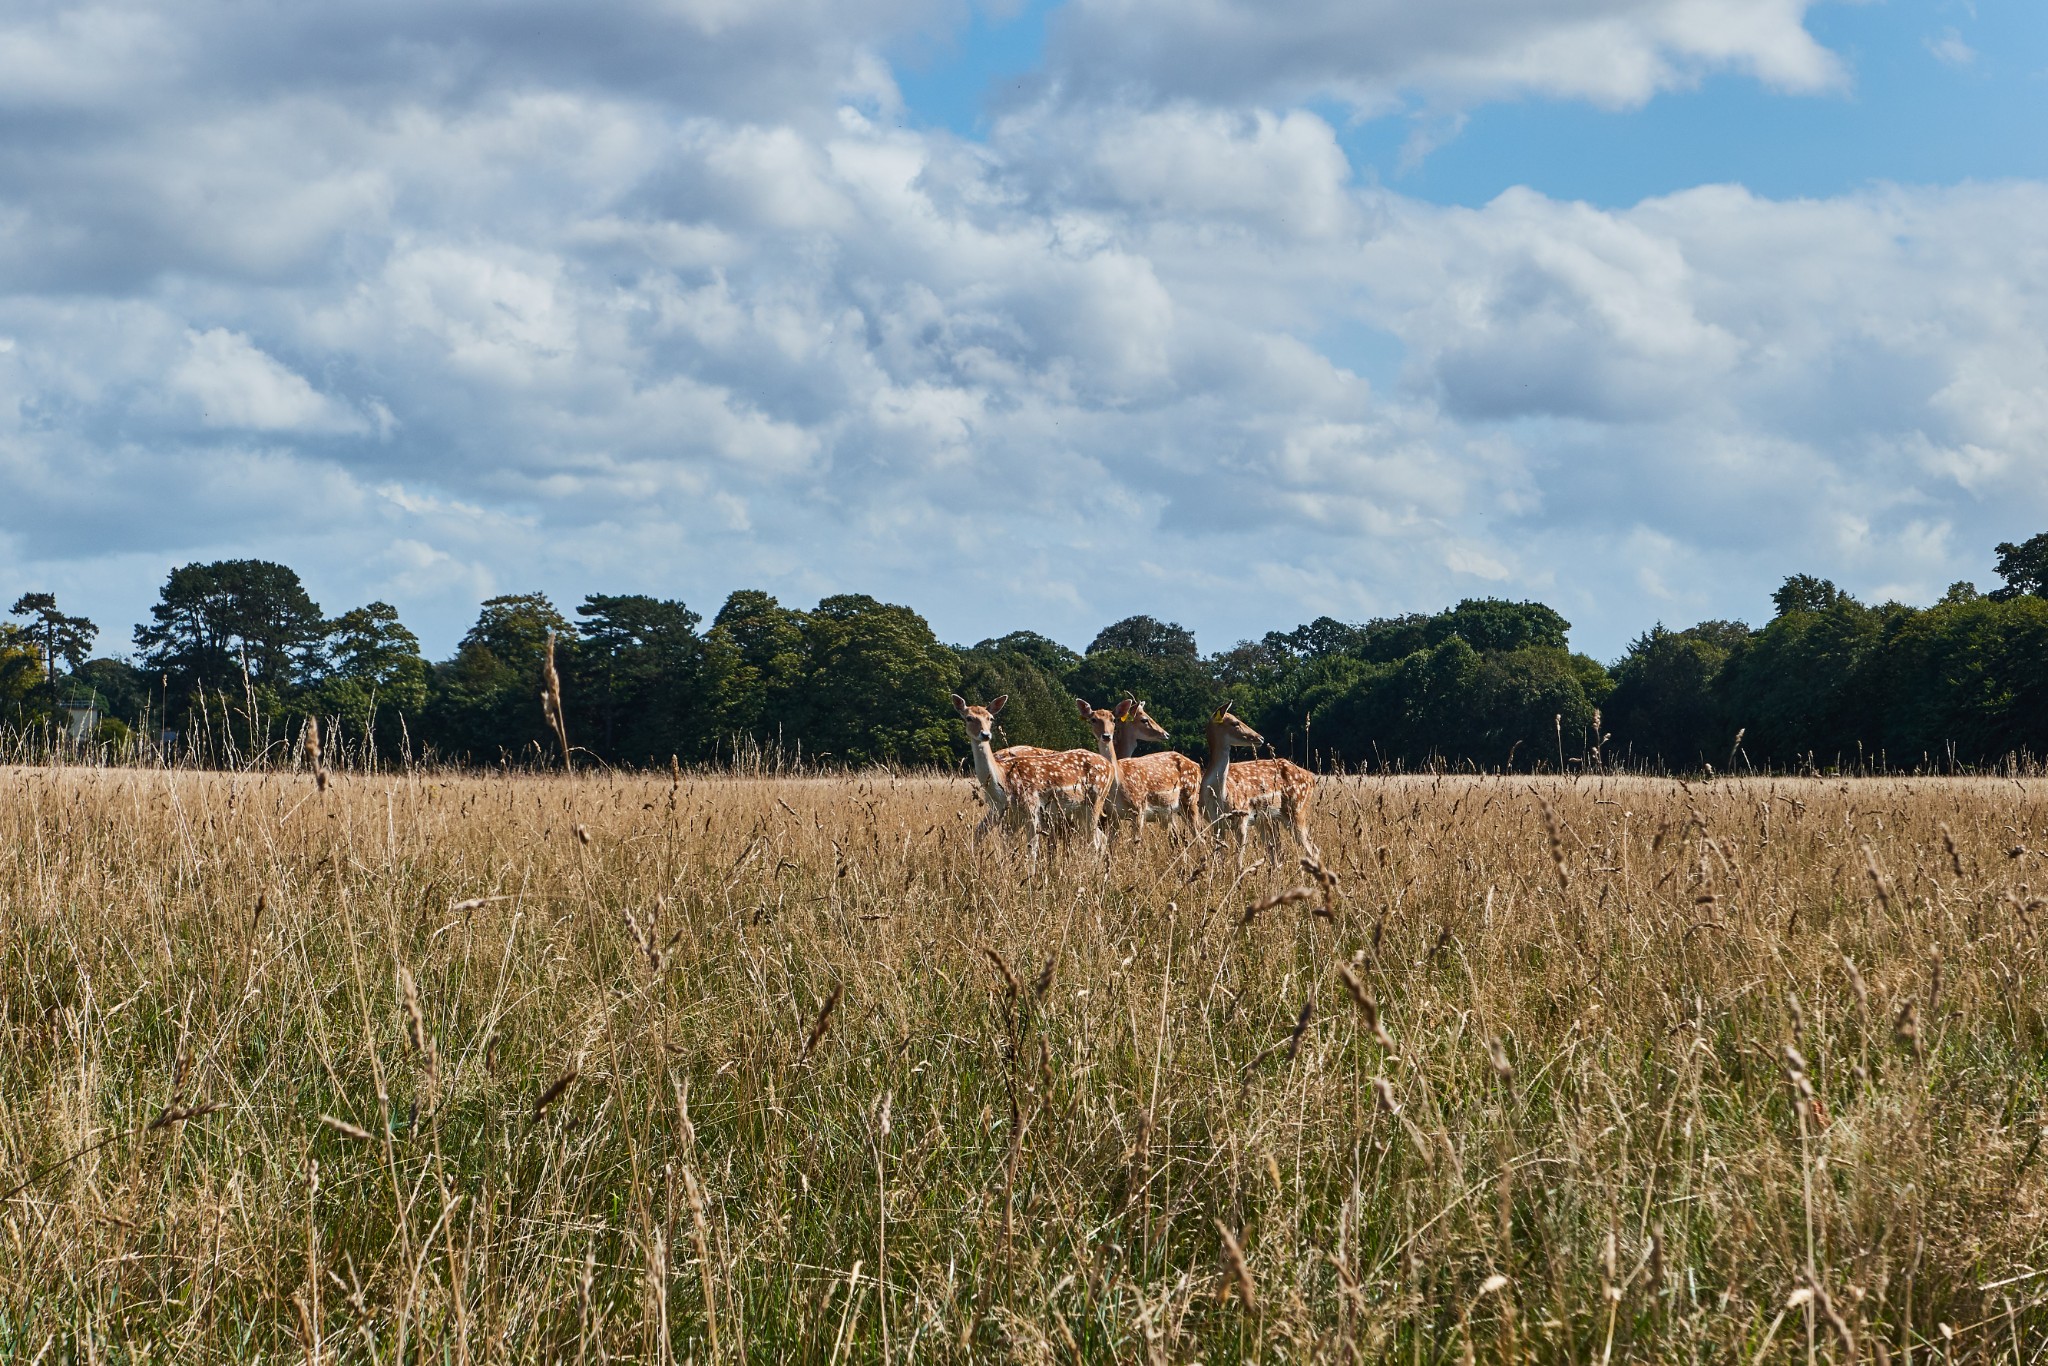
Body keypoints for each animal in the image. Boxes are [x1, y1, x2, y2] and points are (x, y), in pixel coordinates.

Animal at [954, 696, 1114, 856]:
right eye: (969, 718)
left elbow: (1031, 850)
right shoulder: (1003, 812)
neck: (1002, 780)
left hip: (1096, 799)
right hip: (1079, 808)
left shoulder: (1031, 805)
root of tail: (1110, 766)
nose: (985, 734)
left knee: (1094, 841)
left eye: (990, 718)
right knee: (1101, 838)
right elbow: (999, 843)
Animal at [1081, 700, 1204, 847]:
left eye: (1113, 719)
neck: (1119, 781)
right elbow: (1111, 845)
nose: (1106, 736)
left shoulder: (1139, 809)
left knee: (1199, 838)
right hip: (1171, 812)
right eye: (1093, 719)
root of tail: (1197, 766)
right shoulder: (1112, 815)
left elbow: (1135, 846)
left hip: (1190, 799)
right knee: (1179, 840)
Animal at [1196, 704, 1318, 864]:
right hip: (1269, 818)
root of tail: (1311, 778)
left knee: (1311, 849)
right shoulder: (1214, 823)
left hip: (1297, 809)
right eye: (1235, 723)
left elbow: (1238, 861)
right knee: (1277, 851)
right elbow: (1219, 857)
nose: (1260, 737)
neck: (1219, 796)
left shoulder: (1242, 816)